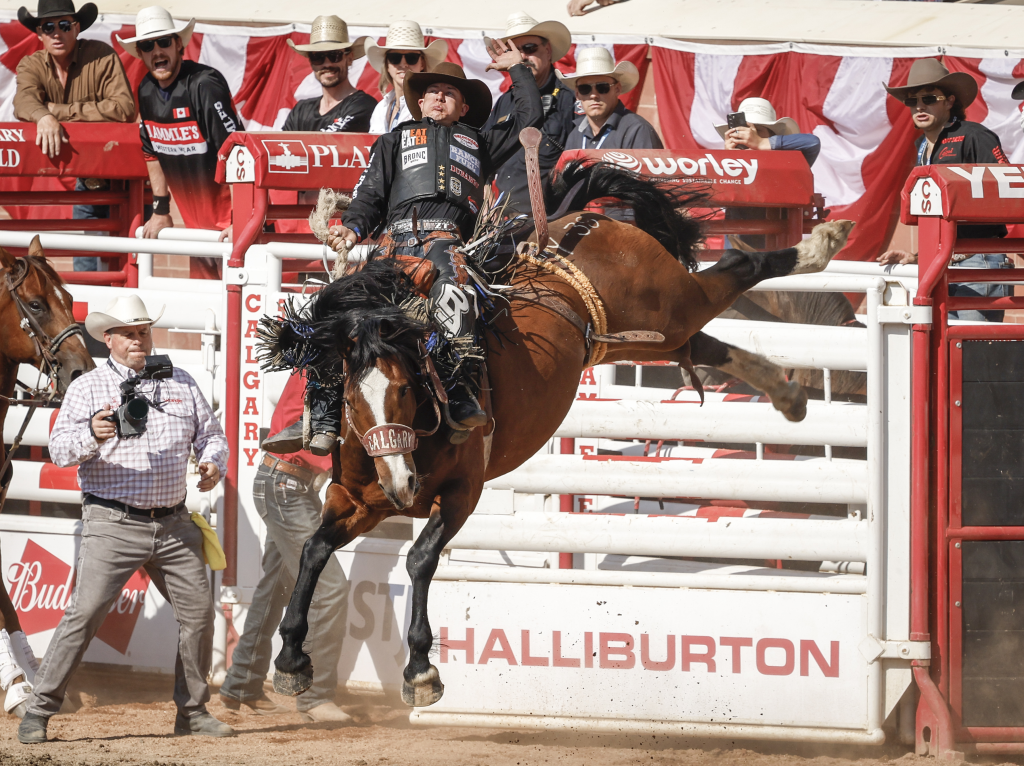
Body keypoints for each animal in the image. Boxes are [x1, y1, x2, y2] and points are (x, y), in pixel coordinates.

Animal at [266, 159, 856, 704]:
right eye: (346, 398)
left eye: (408, 390)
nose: (401, 486)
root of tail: (583, 225)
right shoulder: (354, 499)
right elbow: (314, 549)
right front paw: (291, 657)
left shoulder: (462, 493)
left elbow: (419, 558)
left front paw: (420, 670)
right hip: (648, 334)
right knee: (702, 342)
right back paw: (789, 396)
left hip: (670, 301)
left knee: (737, 265)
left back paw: (821, 245)